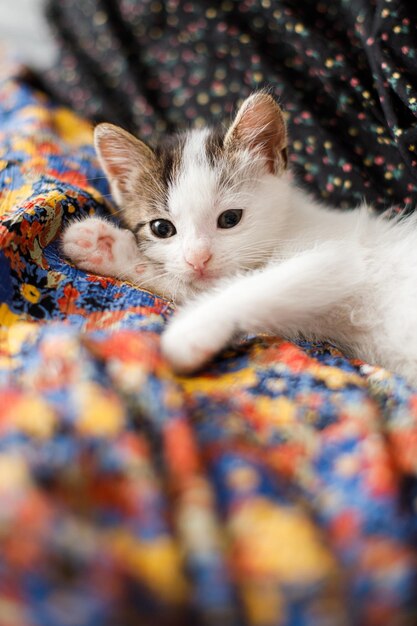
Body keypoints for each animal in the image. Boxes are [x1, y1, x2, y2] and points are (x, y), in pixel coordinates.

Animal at [61, 92, 416, 380]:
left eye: (230, 219)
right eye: (162, 228)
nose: (198, 258)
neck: (288, 226)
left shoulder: (339, 257)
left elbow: (249, 287)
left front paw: (189, 333)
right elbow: (206, 286)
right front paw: (107, 248)